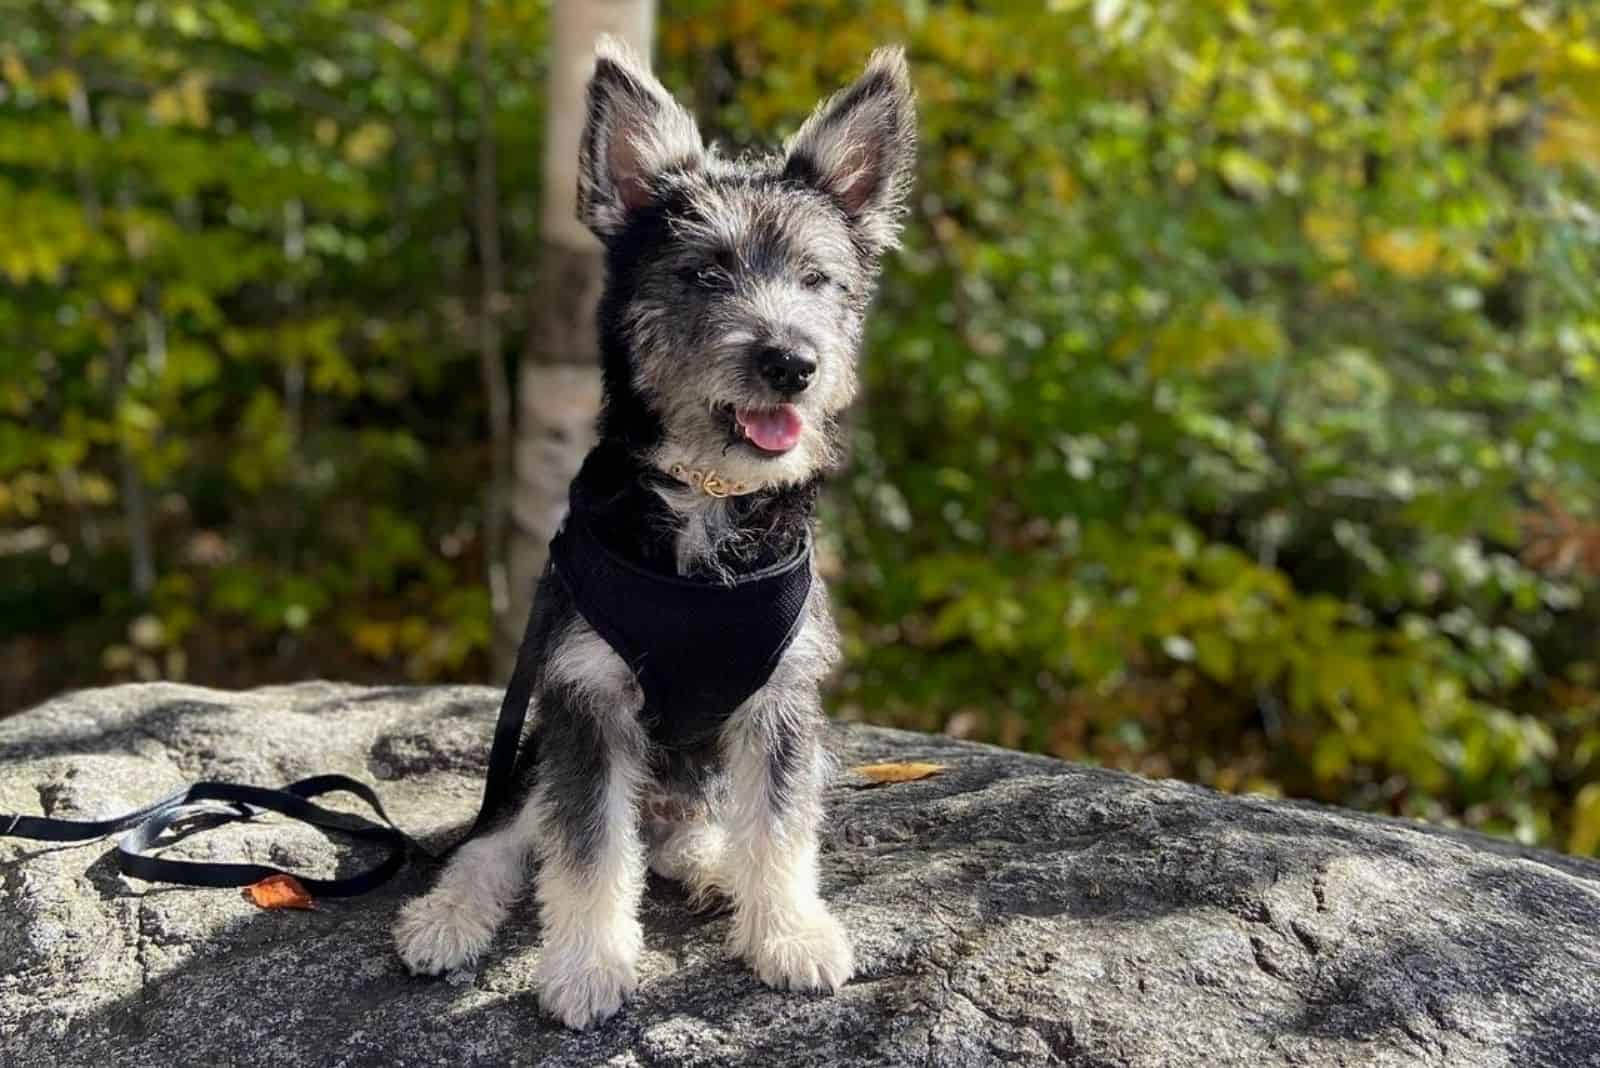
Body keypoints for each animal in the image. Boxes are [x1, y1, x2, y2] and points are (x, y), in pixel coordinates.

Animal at [395, 37, 921, 1029]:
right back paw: (447, 918)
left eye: (817, 279)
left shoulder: (782, 706)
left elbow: (780, 829)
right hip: (531, 752)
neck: (707, 504)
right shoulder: (586, 703)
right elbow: (588, 851)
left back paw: (715, 868)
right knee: (499, 840)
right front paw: (588, 967)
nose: (792, 362)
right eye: (705, 273)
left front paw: (787, 932)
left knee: (694, 837)